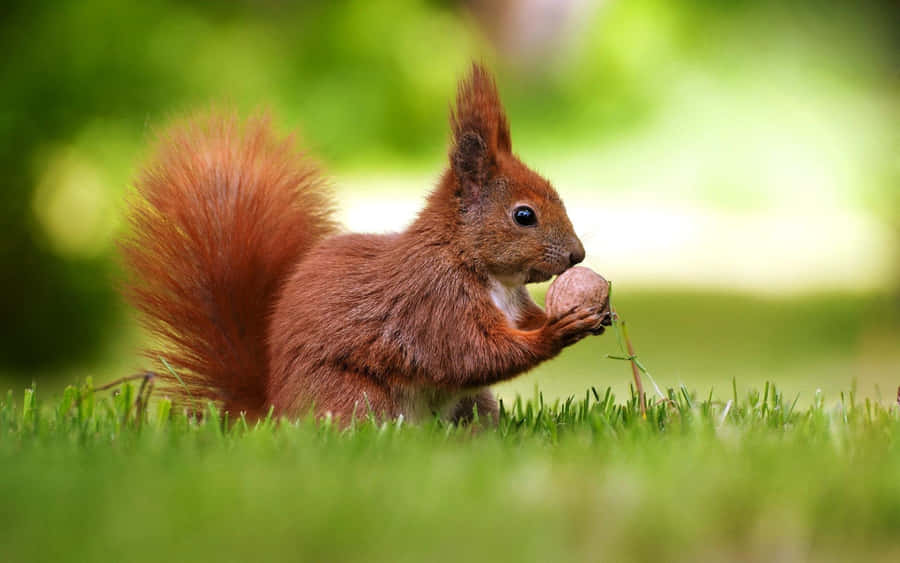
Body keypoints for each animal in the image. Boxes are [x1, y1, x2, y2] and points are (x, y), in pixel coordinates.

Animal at [120, 64, 610, 425]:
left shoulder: (511, 304)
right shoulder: (433, 303)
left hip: (473, 405)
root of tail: (274, 411)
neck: (485, 271)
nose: (578, 255)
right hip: (357, 397)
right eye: (523, 216)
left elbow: (517, 328)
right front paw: (557, 331)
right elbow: (473, 355)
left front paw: (592, 314)